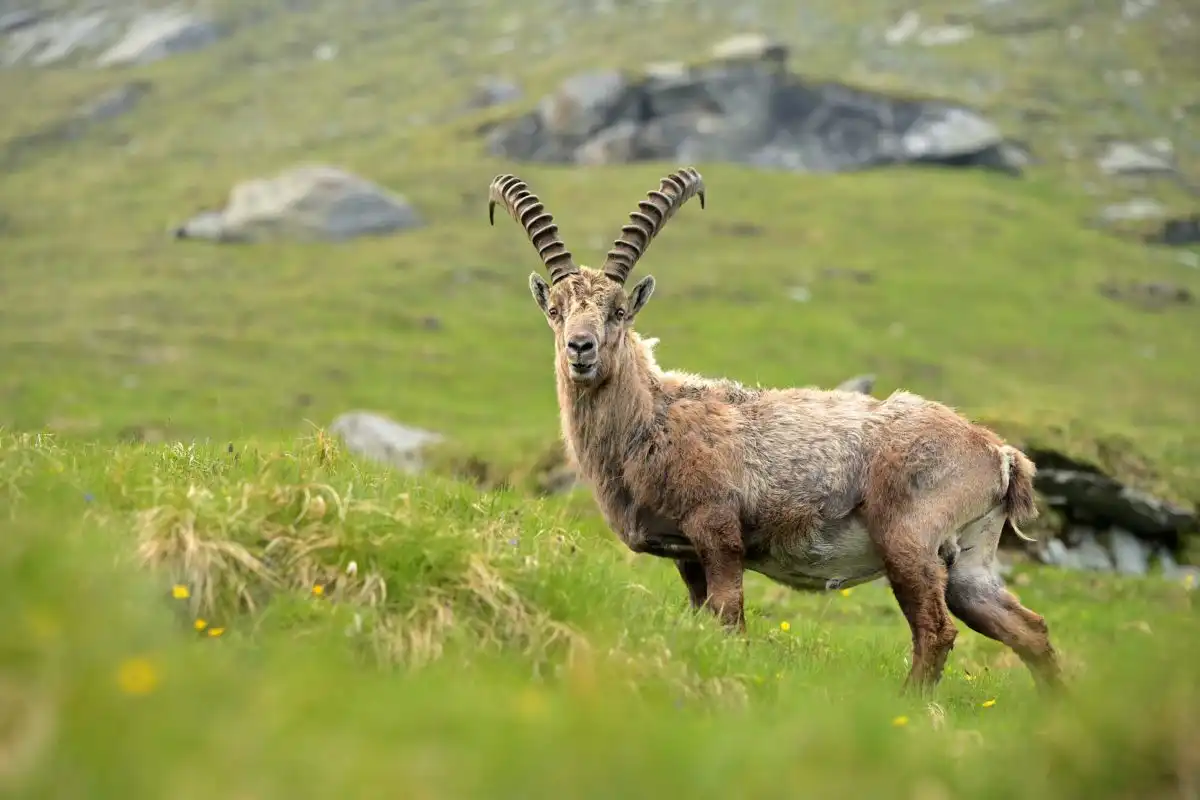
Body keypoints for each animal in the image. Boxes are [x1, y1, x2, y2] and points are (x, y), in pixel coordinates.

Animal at [487, 167, 1062, 694]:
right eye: (556, 310)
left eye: (620, 311)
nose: (580, 349)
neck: (652, 422)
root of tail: (999, 454)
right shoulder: (685, 554)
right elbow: (703, 619)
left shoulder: (717, 529)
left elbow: (729, 615)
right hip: (970, 559)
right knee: (1027, 628)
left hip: (910, 540)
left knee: (936, 630)